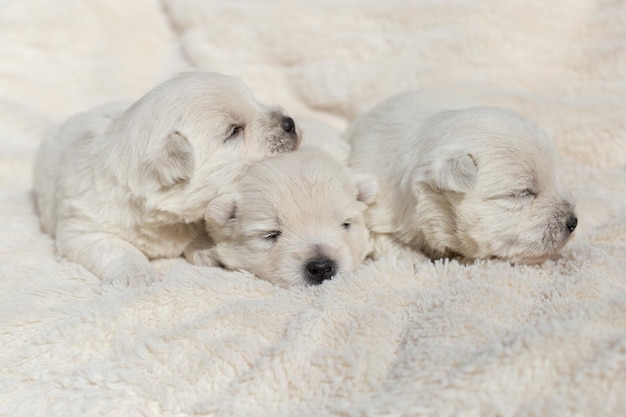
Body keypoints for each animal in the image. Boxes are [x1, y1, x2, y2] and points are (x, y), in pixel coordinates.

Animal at [33, 72, 302, 286]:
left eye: (255, 100)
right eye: (234, 130)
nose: (290, 123)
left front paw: (211, 249)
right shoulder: (82, 230)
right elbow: (117, 248)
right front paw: (136, 274)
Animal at [346, 90, 576, 264]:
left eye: (556, 180)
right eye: (523, 193)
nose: (573, 222)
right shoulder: (375, 215)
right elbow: (385, 241)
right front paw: (416, 259)